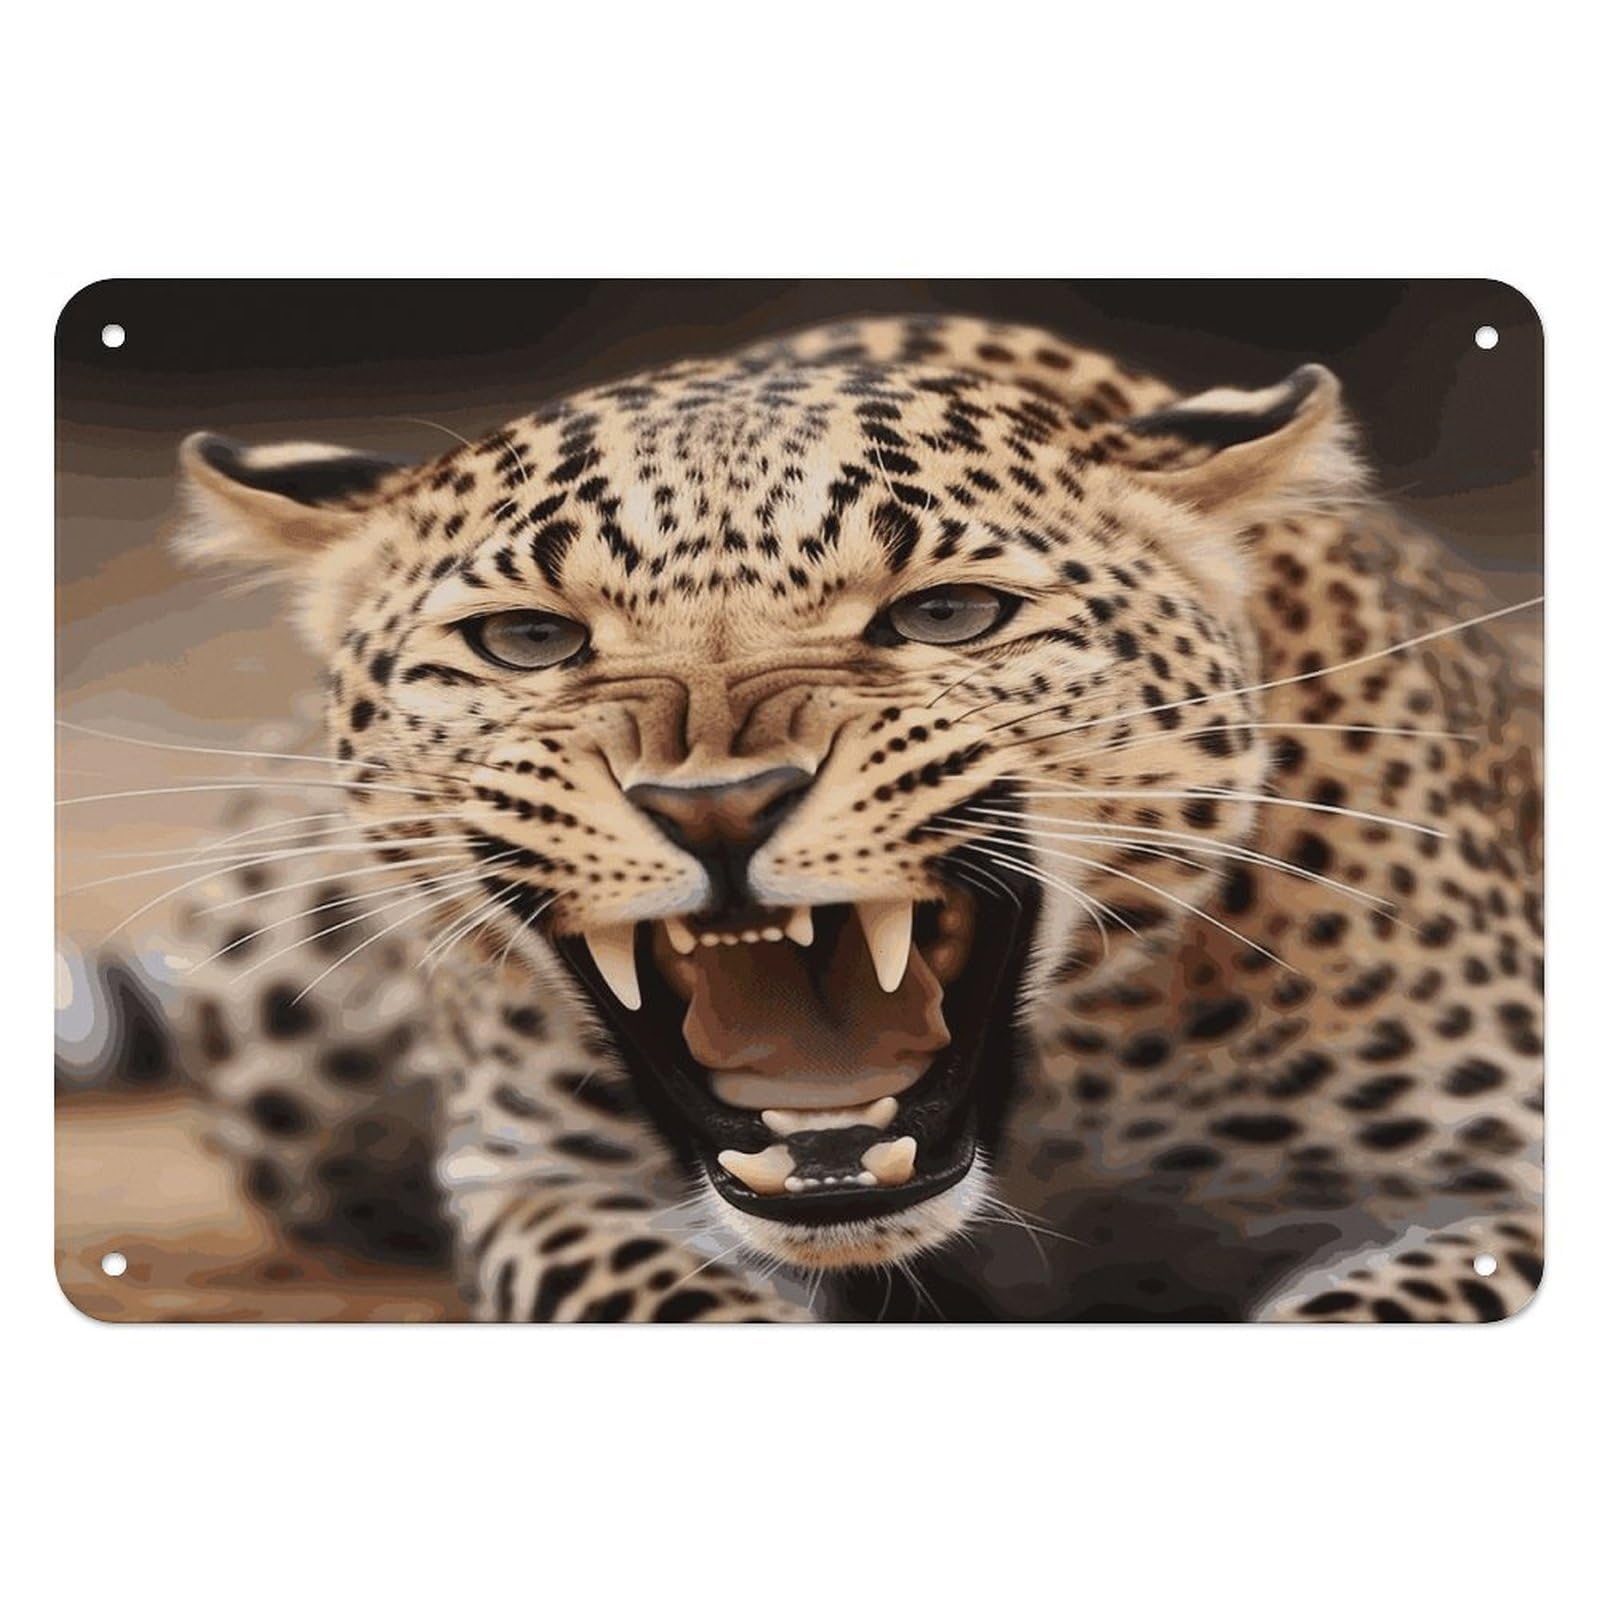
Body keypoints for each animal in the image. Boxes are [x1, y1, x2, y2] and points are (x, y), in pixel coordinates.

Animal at [145, 314, 1542, 1321]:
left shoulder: (1497, 1185)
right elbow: (669, 1307)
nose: (716, 809)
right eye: (528, 640)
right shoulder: (543, 1182)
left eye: (947, 615)